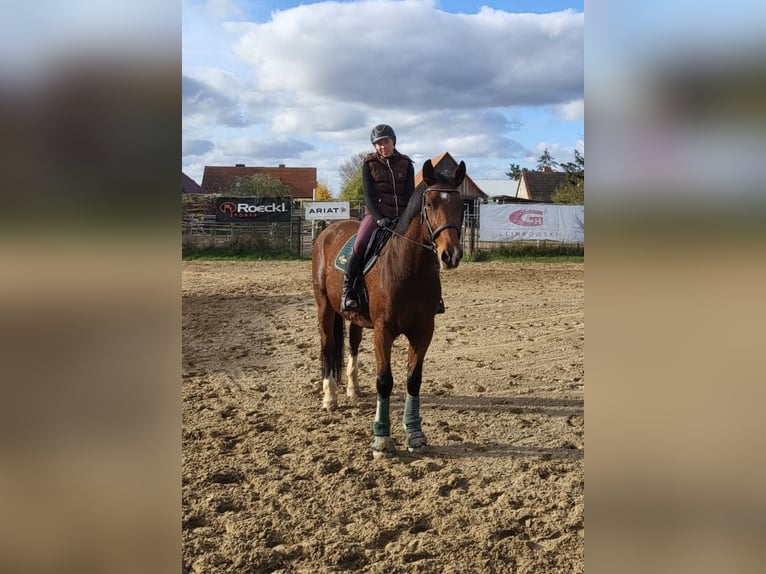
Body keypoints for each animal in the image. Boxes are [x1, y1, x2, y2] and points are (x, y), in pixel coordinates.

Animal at [311, 158, 466, 458]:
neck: (409, 268)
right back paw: (330, 397)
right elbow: (384, 381)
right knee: (327, 345)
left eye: (462, 204)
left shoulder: (423, 330)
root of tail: (327, 230)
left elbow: (413, 379)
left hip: (355, 316)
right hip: (324, 306)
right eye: (430, 204)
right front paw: (382, 440)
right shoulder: (384, 331)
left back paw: (353, 388)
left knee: (353, 343)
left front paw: (415, 434)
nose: (450, 255)